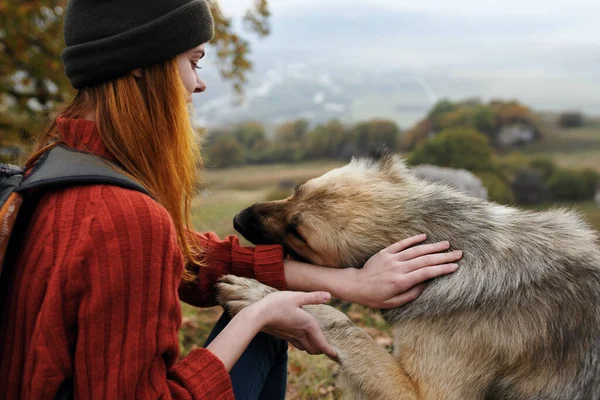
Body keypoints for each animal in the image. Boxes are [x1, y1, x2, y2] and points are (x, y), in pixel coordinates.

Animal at [216, 150, 600, 400]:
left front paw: (262, 297)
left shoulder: (424, 394)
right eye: (297, 191)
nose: (236, 219)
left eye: (298, 233)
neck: (459, 246)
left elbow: (342, 322)